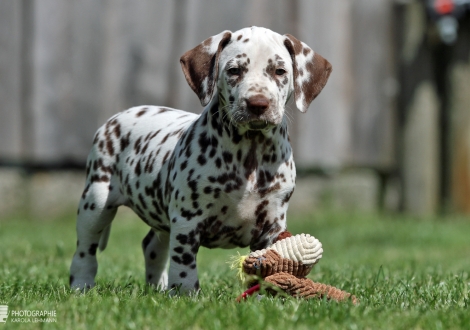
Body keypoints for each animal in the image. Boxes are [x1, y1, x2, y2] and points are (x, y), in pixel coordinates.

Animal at [70, 26, 330, 294]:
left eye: (279, 71)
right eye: (234, 70)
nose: (258, 104)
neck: (250, 153)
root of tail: (117, 117)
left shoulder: (272, 225)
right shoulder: (186, 221)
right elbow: (184, 267)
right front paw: (185, 296)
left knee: (152, 245)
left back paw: (157, 289)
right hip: (95, 202)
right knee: (85, 251)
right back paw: (81, 285)